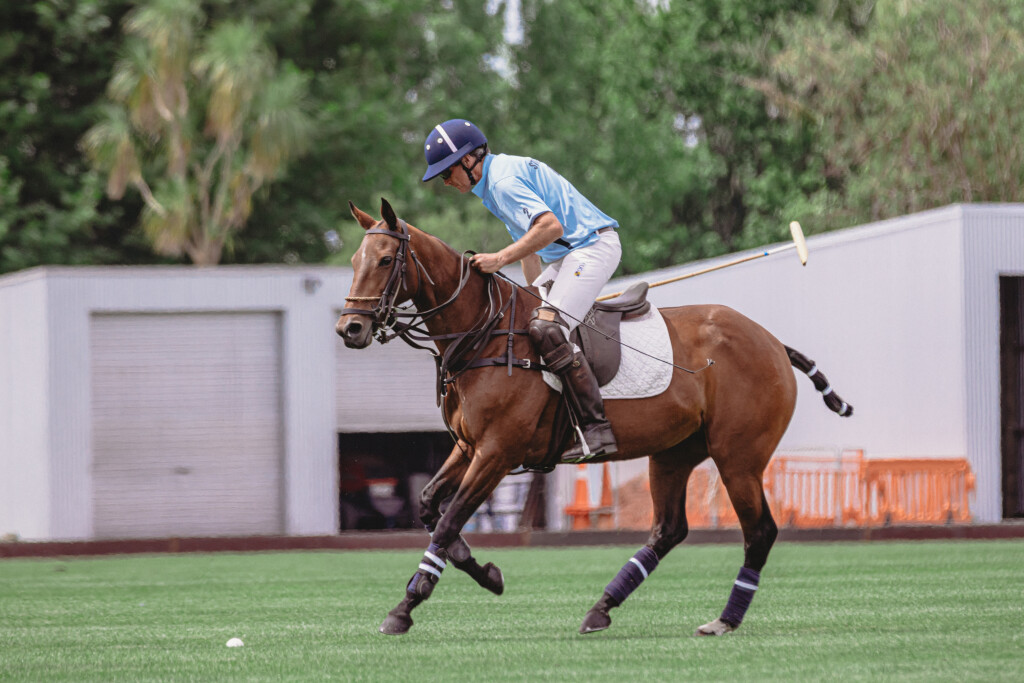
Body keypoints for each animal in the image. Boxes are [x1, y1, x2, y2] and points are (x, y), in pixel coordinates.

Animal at [336, 198, 853, 637]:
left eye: (386, 260)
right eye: (355, 261)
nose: (350, 329)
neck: (484, 333)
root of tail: (774, 343)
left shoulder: (498, 451)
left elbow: (447, 521)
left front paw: (405, 607)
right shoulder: (469, 446)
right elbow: (430, 506)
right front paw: (488, 574)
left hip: (738, 455)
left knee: (759, 532)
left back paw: (723, 619)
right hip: (675, 451)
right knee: (669, 529)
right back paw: (601, 608)